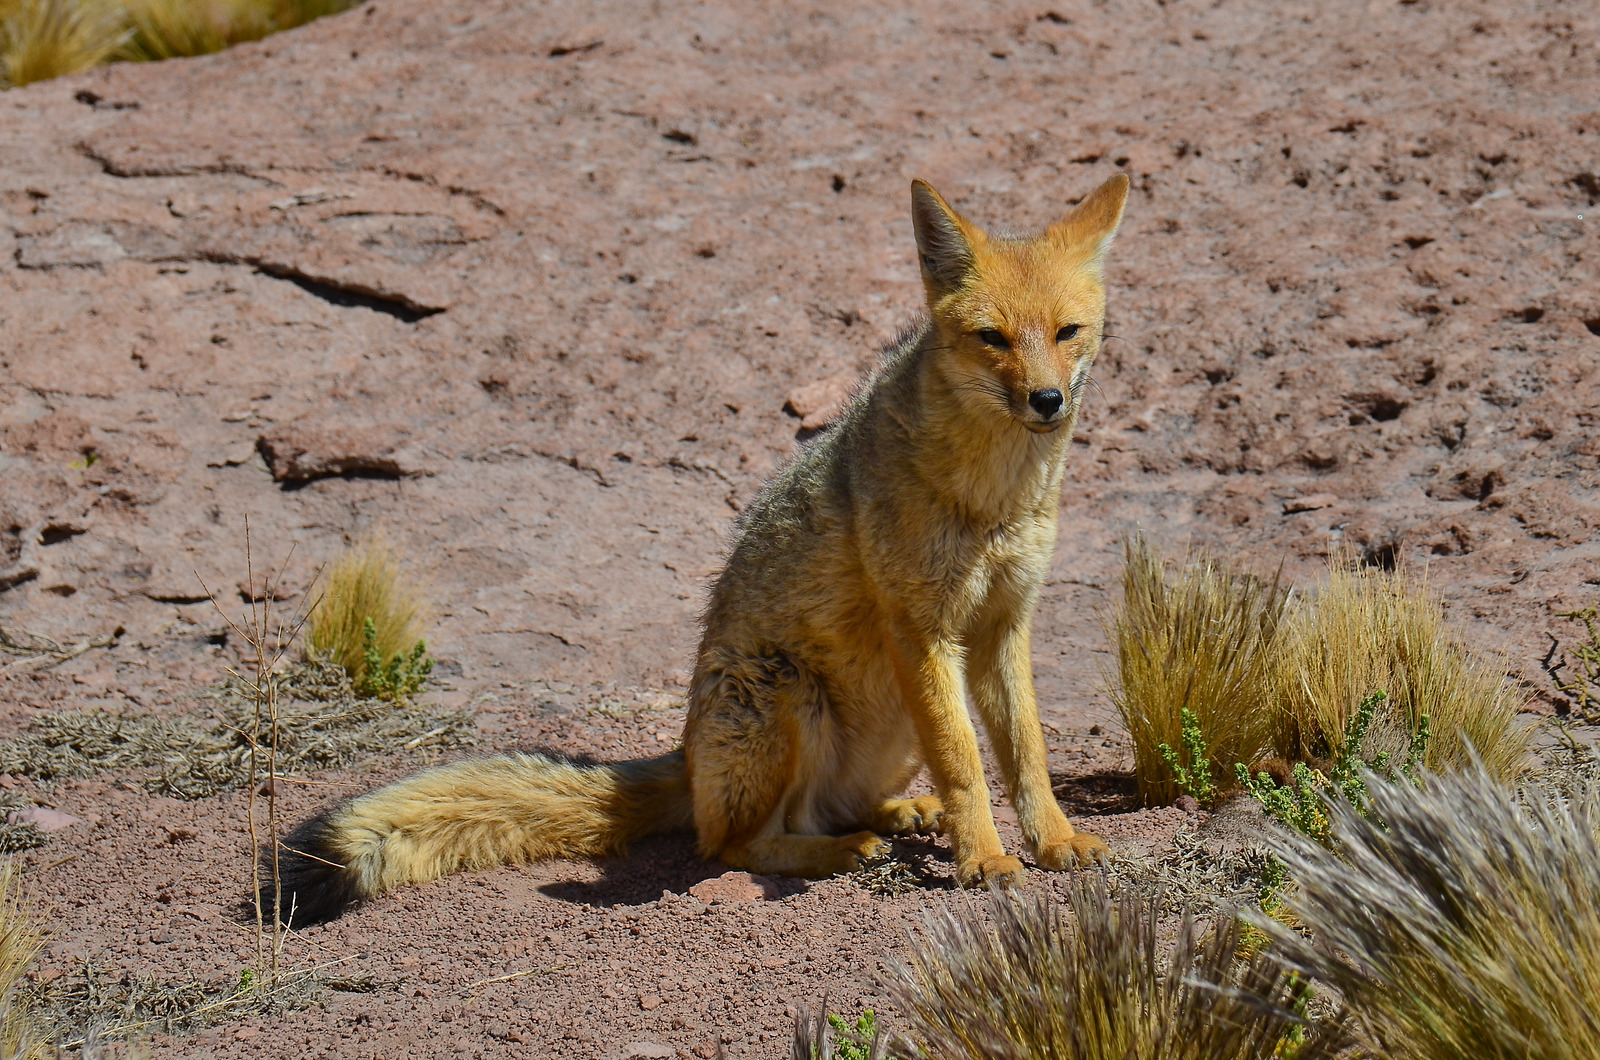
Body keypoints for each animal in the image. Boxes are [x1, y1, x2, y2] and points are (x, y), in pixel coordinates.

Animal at [272, 176, 1126, 928]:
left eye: (1067, 333)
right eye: (992, 339)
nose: (1047, 401)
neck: (994, 500)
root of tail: (684, 756)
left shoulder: (1003, 626)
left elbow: (1025, 753)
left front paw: (1053, 841)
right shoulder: (924, 631)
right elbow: (966, 764)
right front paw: (984, 858)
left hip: (884, 729)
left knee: (826, 809)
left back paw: (897, 814)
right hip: (788, 695)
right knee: (736, 843)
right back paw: (846, 848)